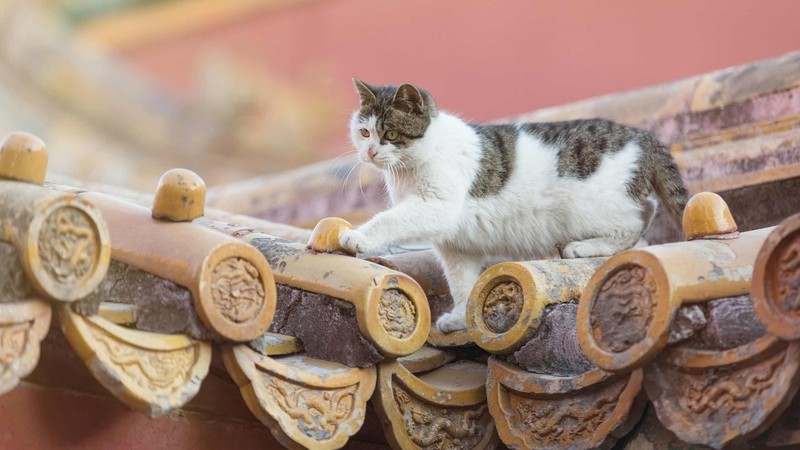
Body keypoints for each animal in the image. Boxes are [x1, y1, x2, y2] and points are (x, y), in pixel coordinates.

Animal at [340, 77, 688, 332]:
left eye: (389, 133)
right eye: (364, 132)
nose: (370, 152)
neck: (410, 167)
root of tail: (644, 137)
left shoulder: (436, 206)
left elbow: (389, 219)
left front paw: (357, 236)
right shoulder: (456, 248)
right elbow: (462, 283)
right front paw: (461, 317)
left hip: (591, 208)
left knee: (635, 224)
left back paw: (583, 248)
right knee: (646, 214)